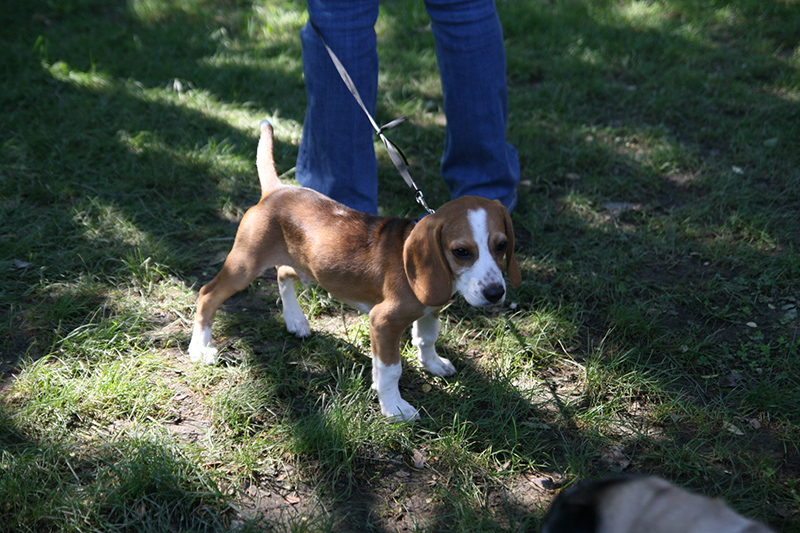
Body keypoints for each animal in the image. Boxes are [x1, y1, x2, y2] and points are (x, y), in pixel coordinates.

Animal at [189, 120, 524, 420]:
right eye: (461, 251)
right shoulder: (383, 322)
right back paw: (200, 349)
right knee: (207, 295)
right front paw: (394, 408)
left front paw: (433, 364)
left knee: (283, 273)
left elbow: (426, 338)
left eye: (502, 245)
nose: (495, 294)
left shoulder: (430, 308)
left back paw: (295, 320)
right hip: (245, 264)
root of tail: (277, 191)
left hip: (306, 266)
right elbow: (391, 370)